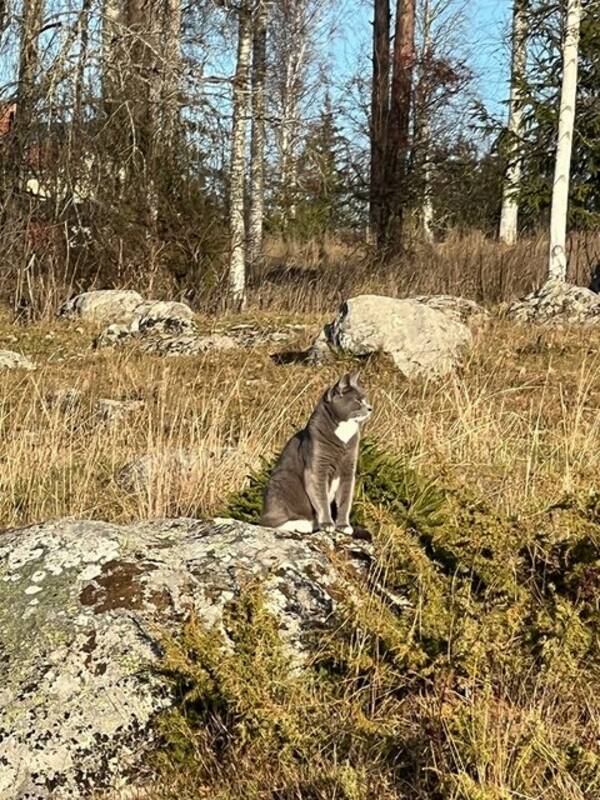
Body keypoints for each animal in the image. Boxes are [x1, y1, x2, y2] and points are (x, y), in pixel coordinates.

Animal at [260, 372, 372, 536]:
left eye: (366, 399)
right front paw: (327, 524)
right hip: (281, 483)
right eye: (357, 400)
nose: (370, 408)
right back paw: (304, 525)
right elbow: (321, 497)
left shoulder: (348, 469)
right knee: (270, 522)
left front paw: (344, 526)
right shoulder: (317, 466)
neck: (344, 434)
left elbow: (345, 500)